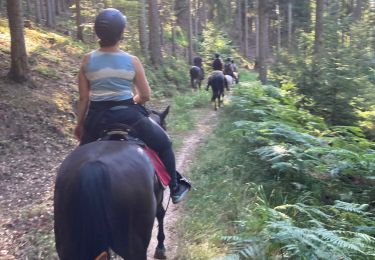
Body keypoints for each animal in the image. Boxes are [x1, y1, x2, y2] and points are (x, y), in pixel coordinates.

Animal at [54, 107, 170, 260]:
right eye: (165, 126)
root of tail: (93, 167)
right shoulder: (159, 197)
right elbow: (161, 214)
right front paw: (161, 247)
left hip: (67, 245)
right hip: (134, 245)